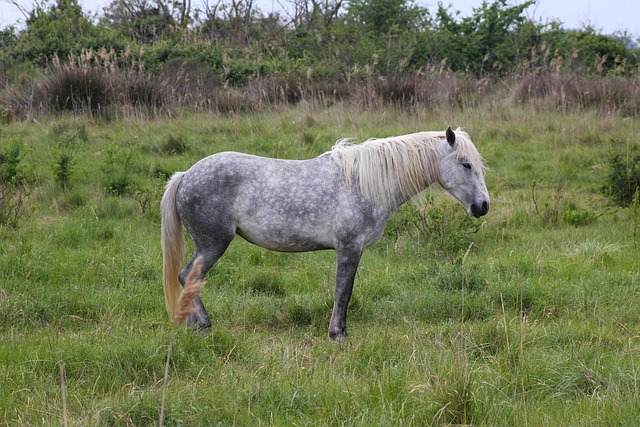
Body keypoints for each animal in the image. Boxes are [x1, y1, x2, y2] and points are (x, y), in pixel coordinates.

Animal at [161, 126, 489, 340]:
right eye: (466, 164)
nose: (483, 206)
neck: (363, 182)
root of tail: (185, 176)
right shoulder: (349, 247)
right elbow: (342, 292)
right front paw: (337, 335)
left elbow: (345, 291)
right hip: (213, 243)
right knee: (189, 276)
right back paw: (204, 325)